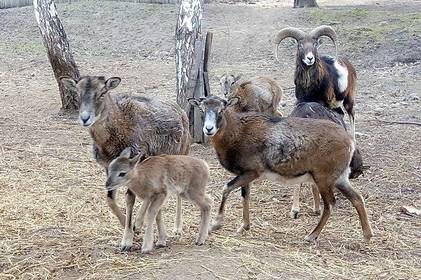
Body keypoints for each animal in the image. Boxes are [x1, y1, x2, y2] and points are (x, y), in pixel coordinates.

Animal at [59, 75, 190, 236]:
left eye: (103, 93)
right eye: (77, 93)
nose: (85, 118)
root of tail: (181, 112)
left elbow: (130, 198)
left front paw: (132, 229)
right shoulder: (109, 167)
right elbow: (110, 199)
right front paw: (126, 224)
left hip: (181, 153)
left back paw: (175, 229)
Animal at [189, 95, 372, 242]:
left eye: (221, 110)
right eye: (202, 109)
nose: (209, 129)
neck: (238, 133)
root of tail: (350, 142)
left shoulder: (252, 172)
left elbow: (226, 188)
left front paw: (215, 225)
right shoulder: (246, 174)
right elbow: (245, 196)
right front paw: (244, 226)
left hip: (323, 179)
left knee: (330, 205)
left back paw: (311, 235)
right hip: (340, 179)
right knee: (357, 199)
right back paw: (367, 235)